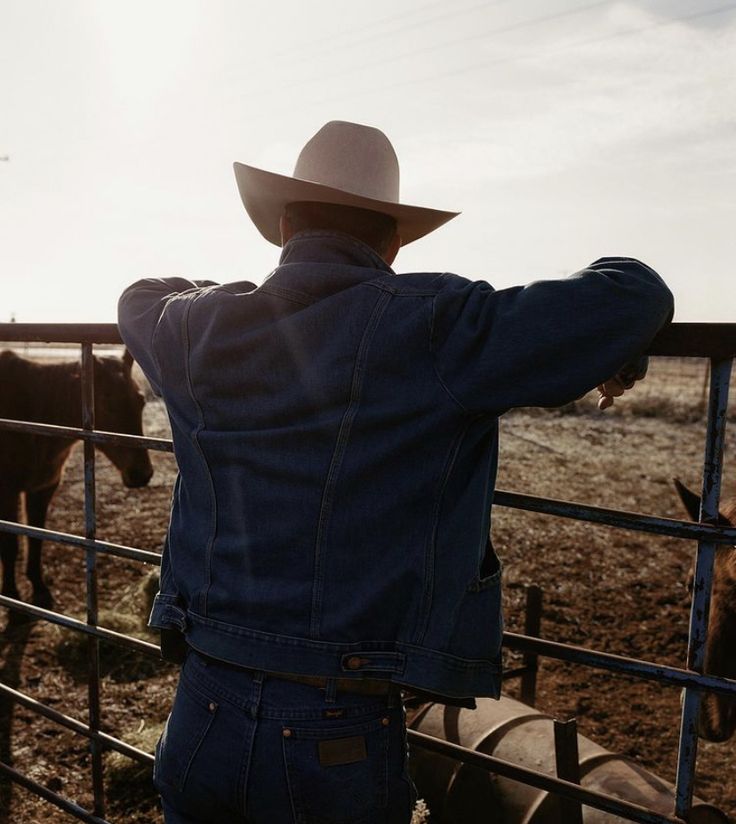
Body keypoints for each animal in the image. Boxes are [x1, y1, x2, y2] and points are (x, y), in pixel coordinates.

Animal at [0, 348, 152, 612]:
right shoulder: (8, 491)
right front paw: (11, 594)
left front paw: (40, 589)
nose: (141, 474)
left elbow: (36, 536)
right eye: (107, 402)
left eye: (141, 400)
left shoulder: (43, 488)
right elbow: (10, 543)